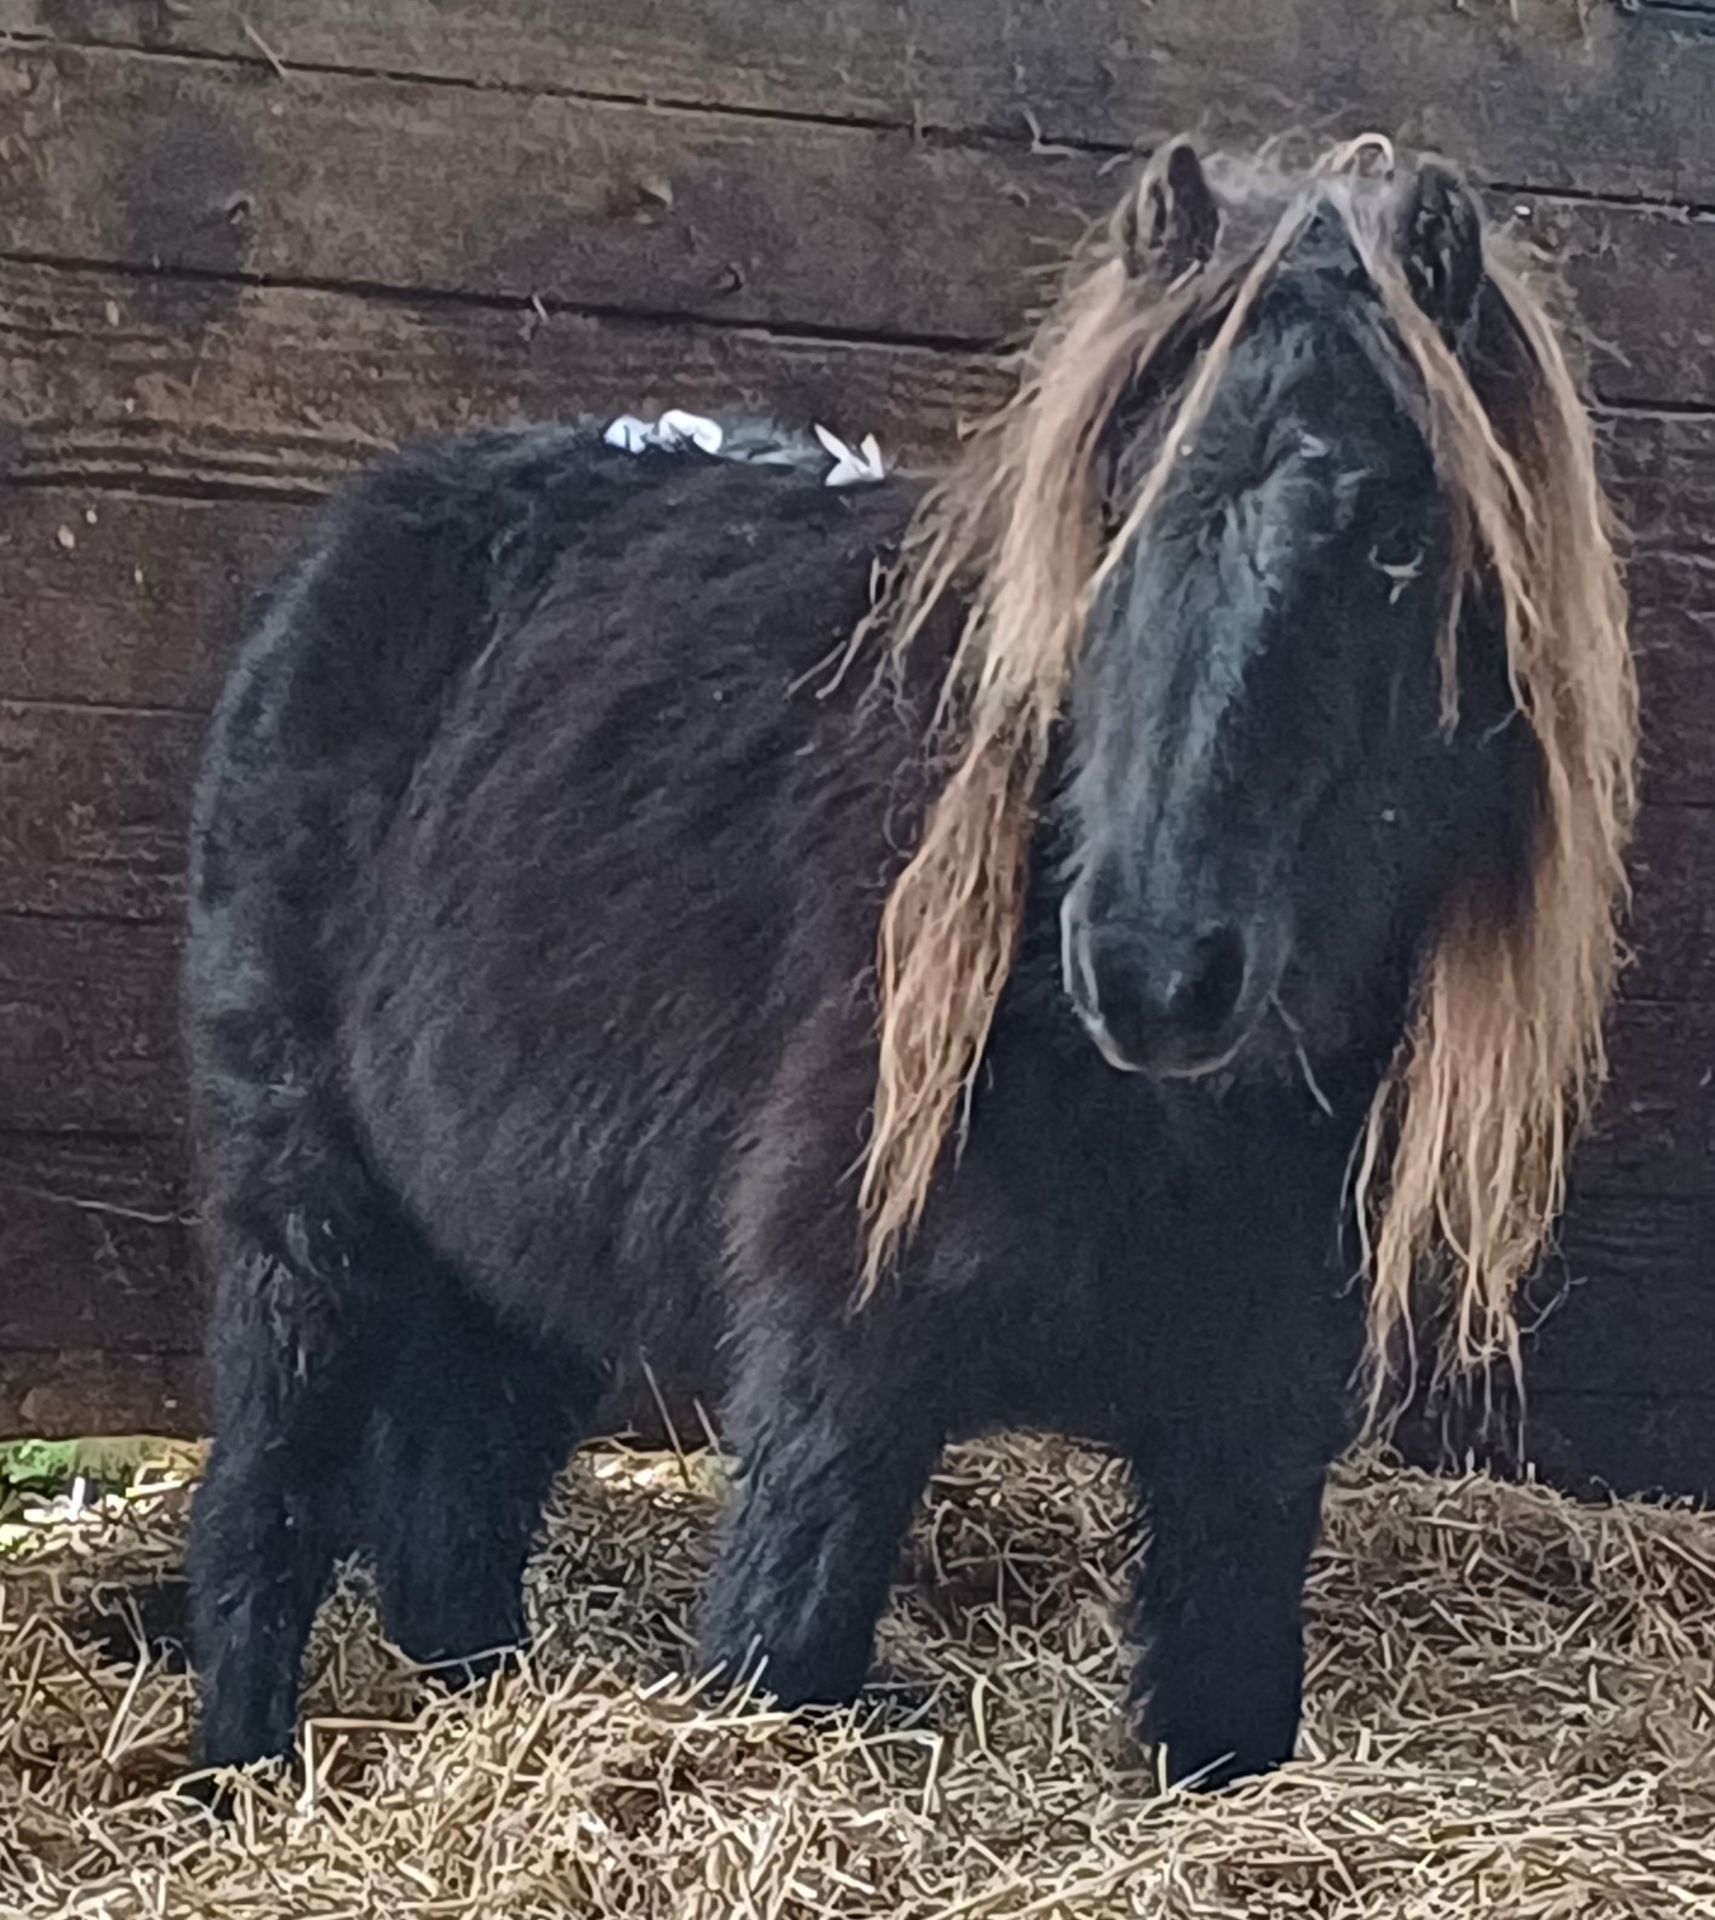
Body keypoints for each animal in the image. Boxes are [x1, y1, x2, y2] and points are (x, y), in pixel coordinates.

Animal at [184, 142, 1636, 1789]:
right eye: (1103, 511)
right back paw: (236, 1782)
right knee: (262, 1514)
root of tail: (378, 515)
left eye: (1398, 548)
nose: (1151, 969)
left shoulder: (1247, 1438)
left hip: (509, 1250)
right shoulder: (833, 1391)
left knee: (448, 1527)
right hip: (310, 1205)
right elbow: (773, 1655)